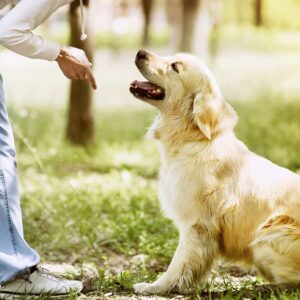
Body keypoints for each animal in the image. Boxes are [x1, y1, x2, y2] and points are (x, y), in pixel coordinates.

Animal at [130, 49, 300, 296]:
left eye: (175, 66)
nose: (140, 52)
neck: (192, 139)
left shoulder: (197, 224)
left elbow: (178, 263)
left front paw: (156, 287)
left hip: (269, 233)